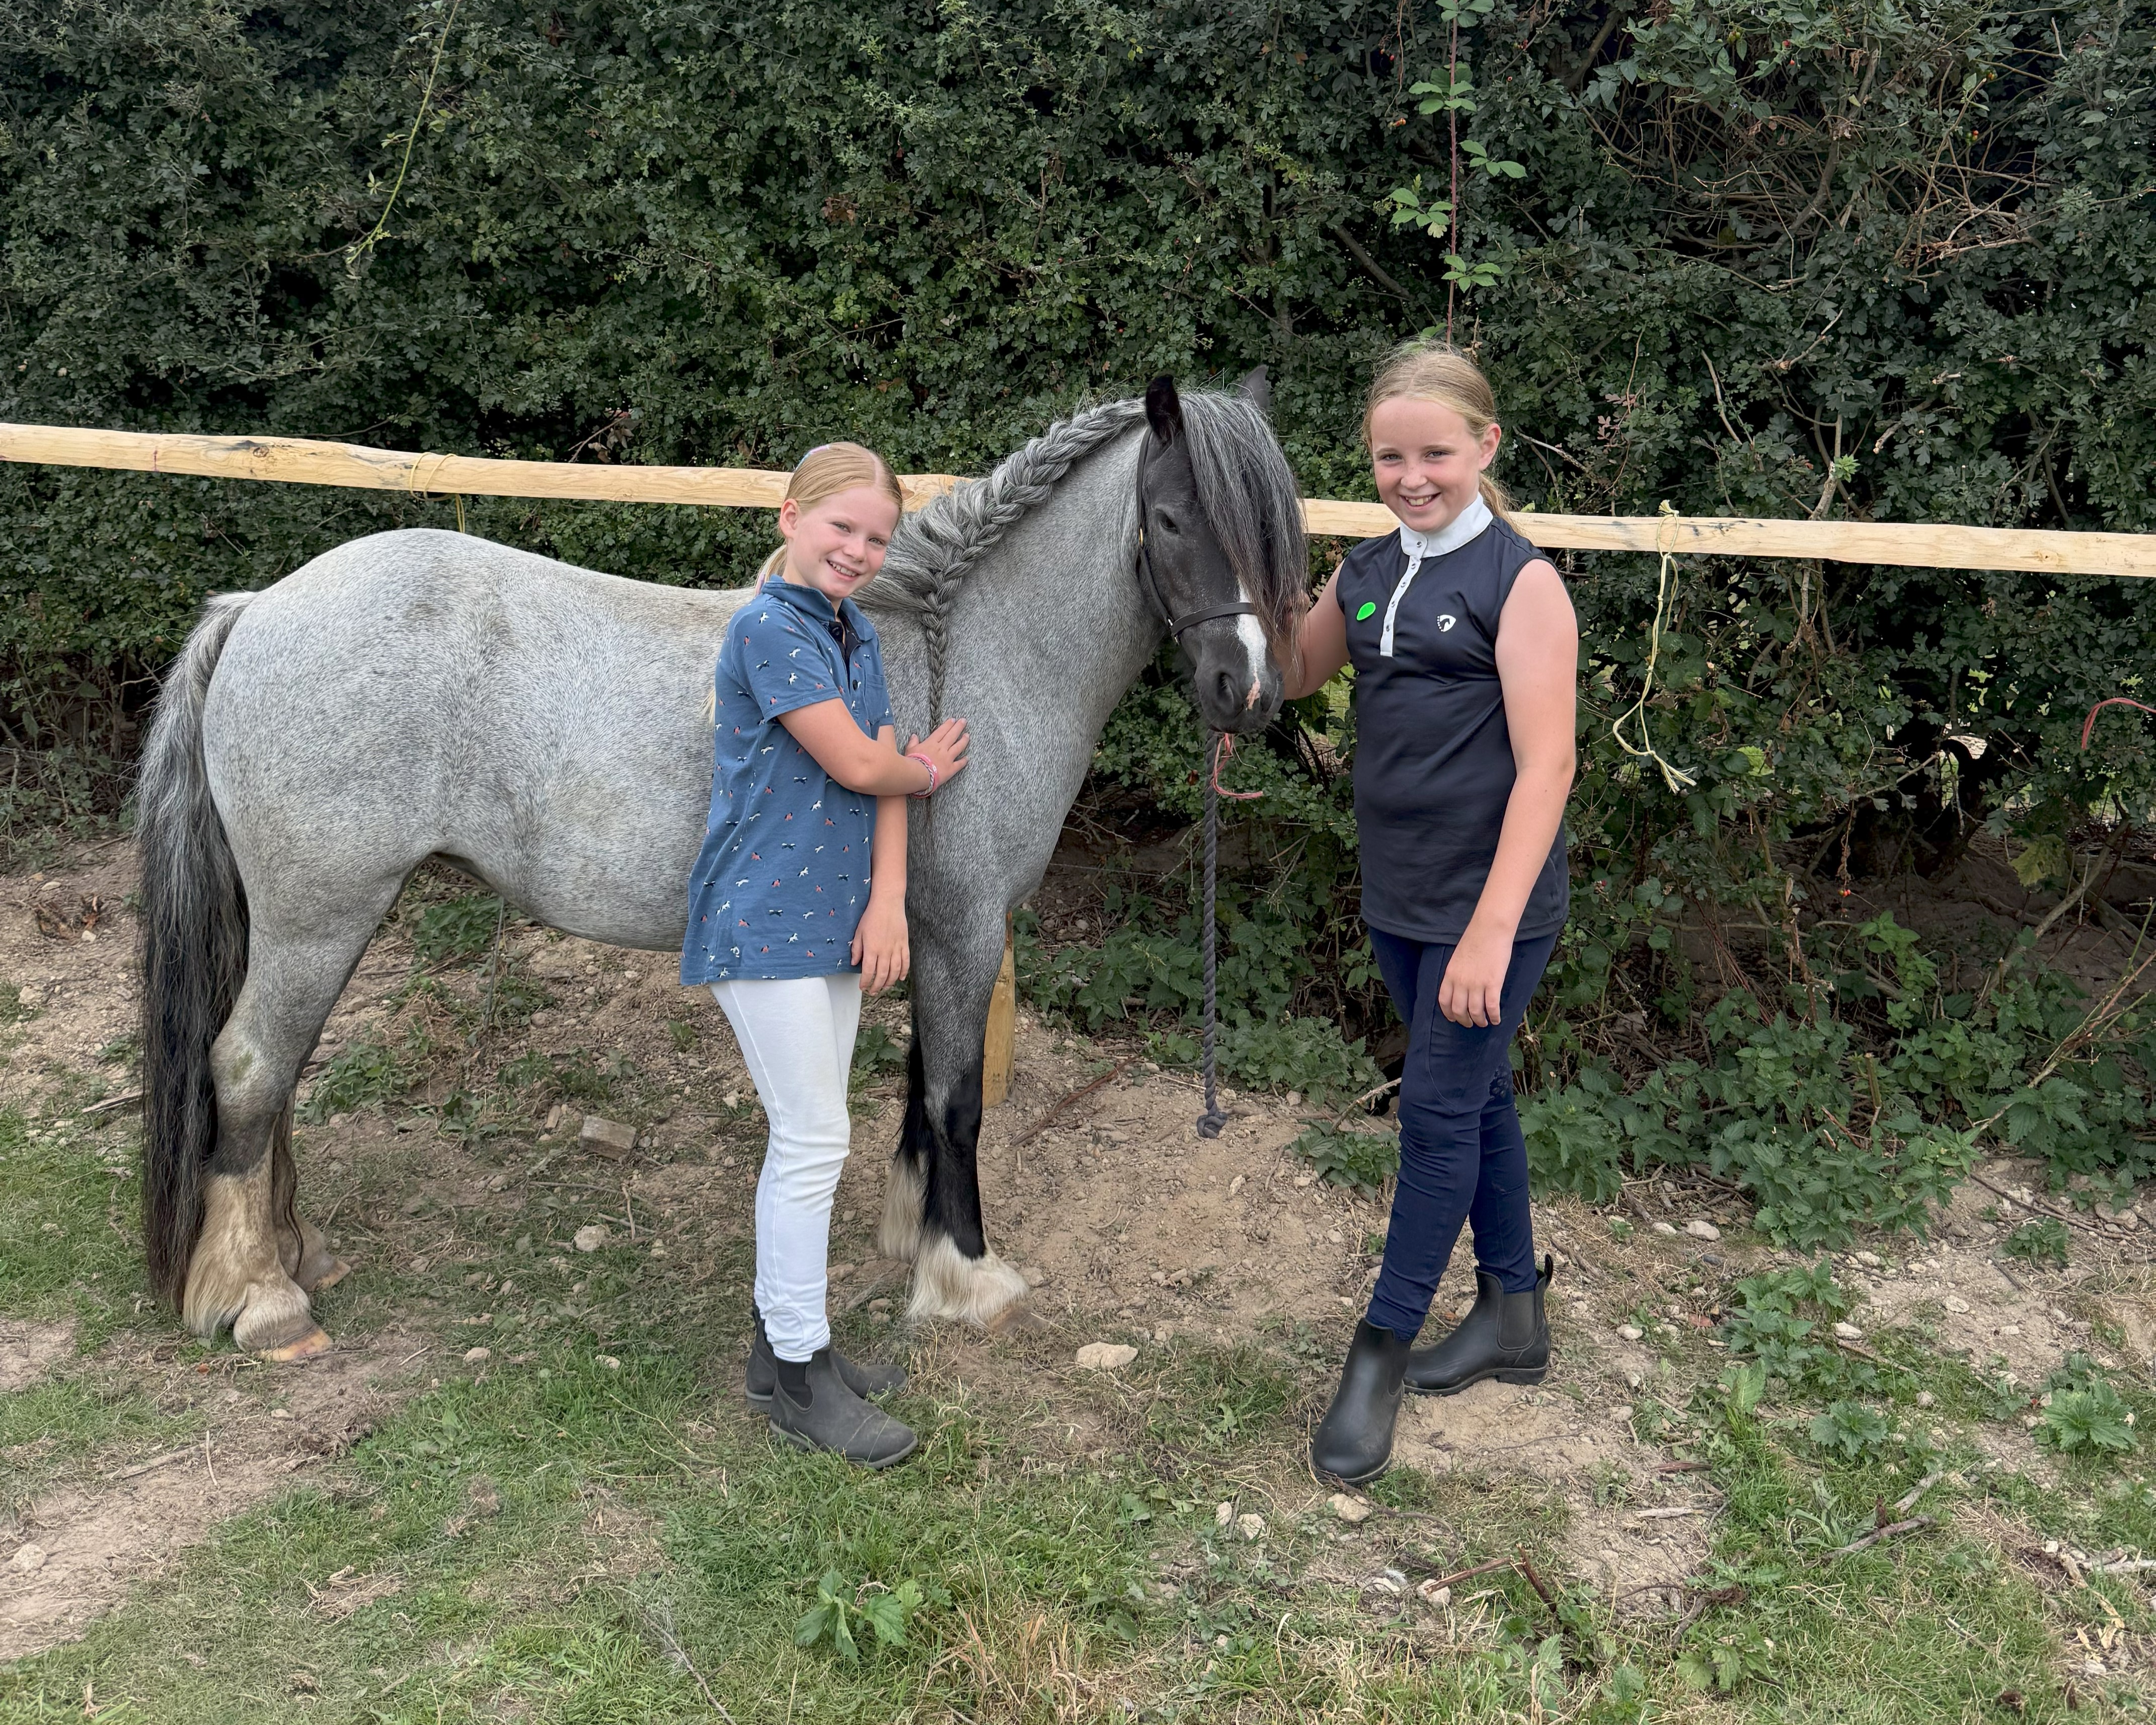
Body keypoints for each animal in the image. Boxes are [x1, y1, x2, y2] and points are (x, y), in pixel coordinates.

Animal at [136, 371, 1306, 1358]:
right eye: (1171, 520)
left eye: (1277, 532)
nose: (1245, 692)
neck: (965, 656)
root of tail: (259, 609)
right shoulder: (970, 928)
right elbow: (957, 1100)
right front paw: (966, 1276)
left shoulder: (931, 925)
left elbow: (920, 1081)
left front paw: (909, 1235)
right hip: (320, 916)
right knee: (250, 1067)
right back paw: (262, 1298)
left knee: (276, 1077)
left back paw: (293, 1255)